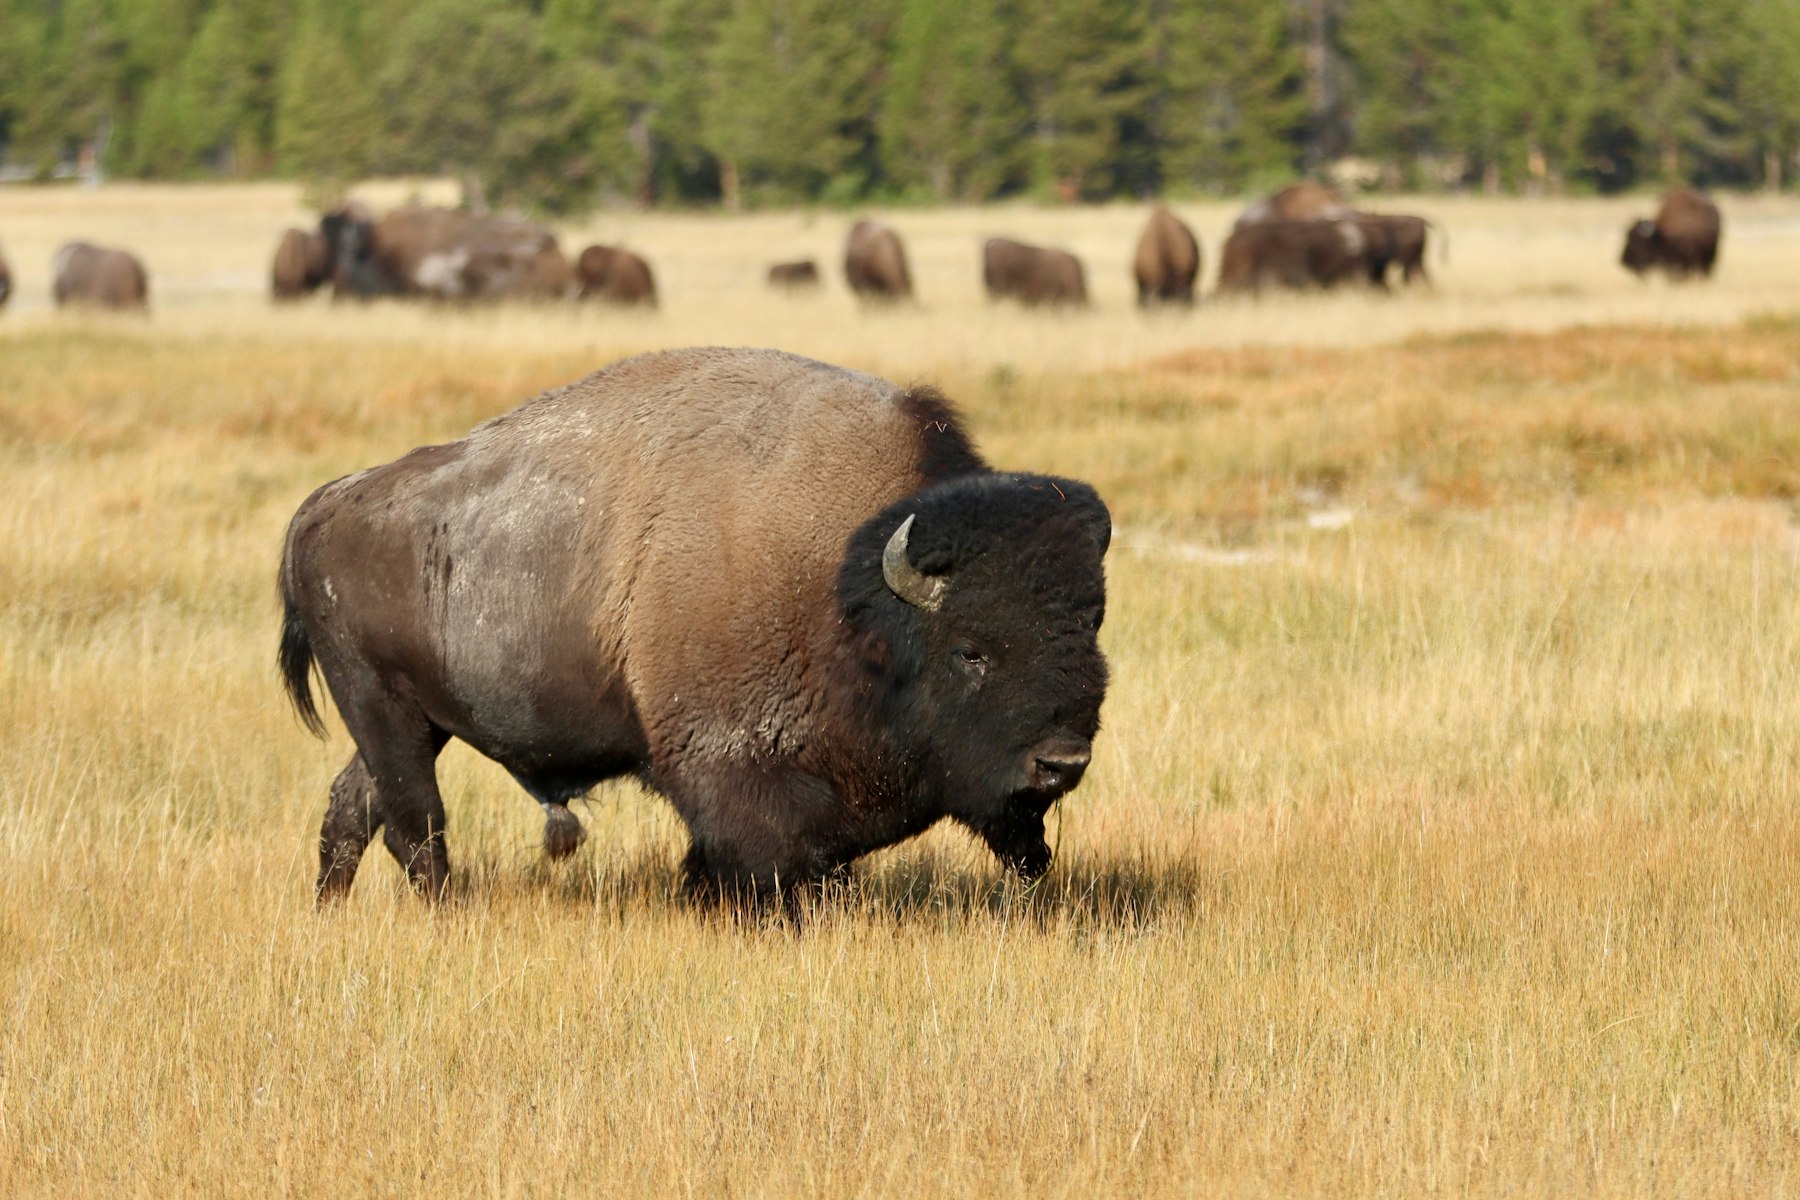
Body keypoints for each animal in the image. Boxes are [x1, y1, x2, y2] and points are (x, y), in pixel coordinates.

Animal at [279, 347, 1111, 906]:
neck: (850, 592)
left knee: (354, 807)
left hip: (417, 719)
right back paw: (446, 913)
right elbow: (766, 860)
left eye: (1093, 640)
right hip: (379, 704)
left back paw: (332, 913)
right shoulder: (736, 773)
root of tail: (326, 502)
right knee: (414, 823)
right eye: (971, 651)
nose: (1061, 762)